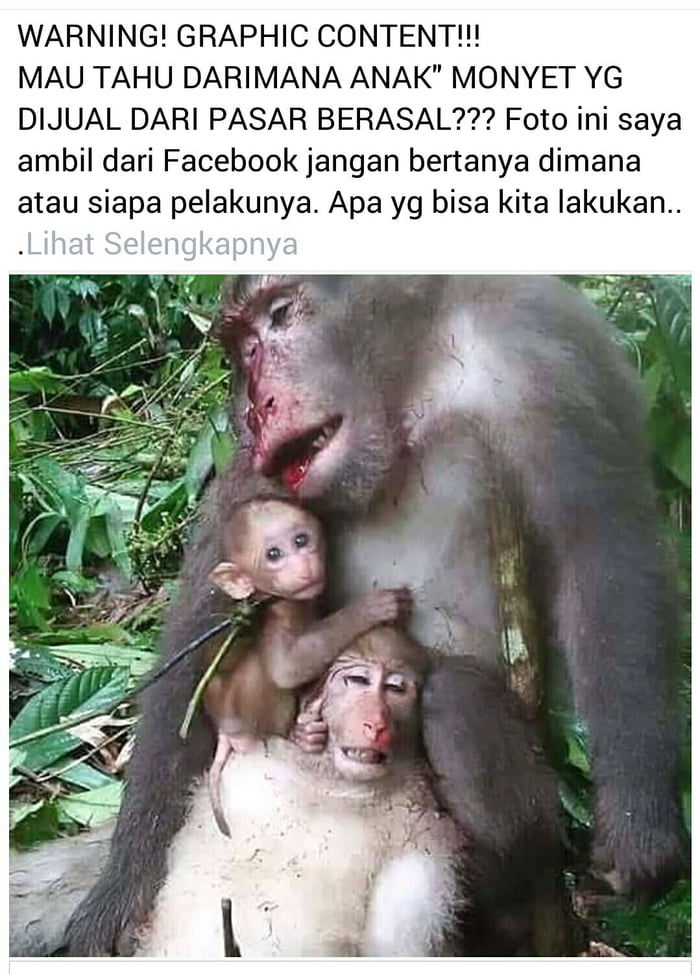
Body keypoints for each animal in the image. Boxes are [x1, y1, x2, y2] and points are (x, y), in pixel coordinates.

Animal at [202, 495, 411, 834]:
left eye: (301, 540)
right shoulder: (280, 613)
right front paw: (370, 609)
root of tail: (223, 728)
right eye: (273, 554)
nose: (303, 564)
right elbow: (287, 668)